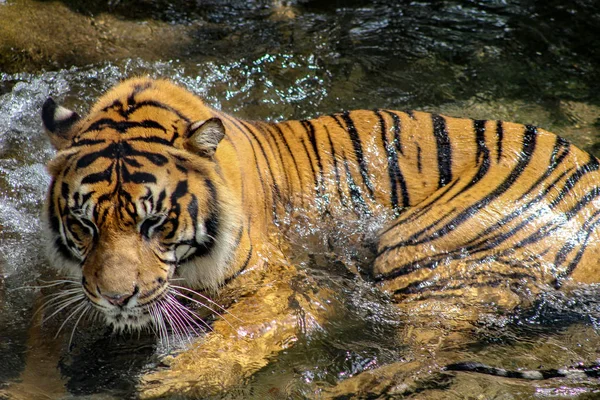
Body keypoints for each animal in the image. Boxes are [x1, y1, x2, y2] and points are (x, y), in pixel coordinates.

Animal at [35, 77, 600, 396]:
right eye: (85, 225)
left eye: (154, 224)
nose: (116, 297)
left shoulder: (284, 290)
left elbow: (231, 340)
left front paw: (165, 380)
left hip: (414, 247)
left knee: (431, 354)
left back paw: (345, 389)